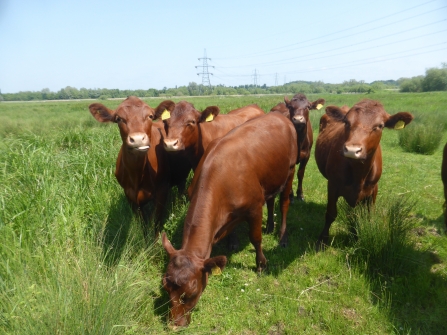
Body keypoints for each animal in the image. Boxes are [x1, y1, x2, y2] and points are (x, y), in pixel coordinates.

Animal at [89, 96, 186, 238]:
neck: (137, 175)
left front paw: (155, 242)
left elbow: (156, 222)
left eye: (150, 116)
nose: (138, 139)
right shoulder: (130, 196)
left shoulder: (162, 191)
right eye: (118, 118)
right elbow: (143, 224)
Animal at [161, 112, 298, 328]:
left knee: (284, 202)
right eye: (165, 287)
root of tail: (278, 114)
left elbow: (255, 238)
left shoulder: (254, 208)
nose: (174, 325)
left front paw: (261, 264)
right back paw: (270, 226)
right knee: (271, 200)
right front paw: (233, 242)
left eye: (191, 292)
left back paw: (282, 236)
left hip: (291, 169)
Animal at [314, 98, 414, 251]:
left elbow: (366, 215)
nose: (352, 150)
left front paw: (359, 235)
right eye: (346, 122)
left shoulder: (373, 188)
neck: (358, 174)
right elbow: (331, 213)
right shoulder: (332, 184)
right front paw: (322, 239)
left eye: (380, 125)